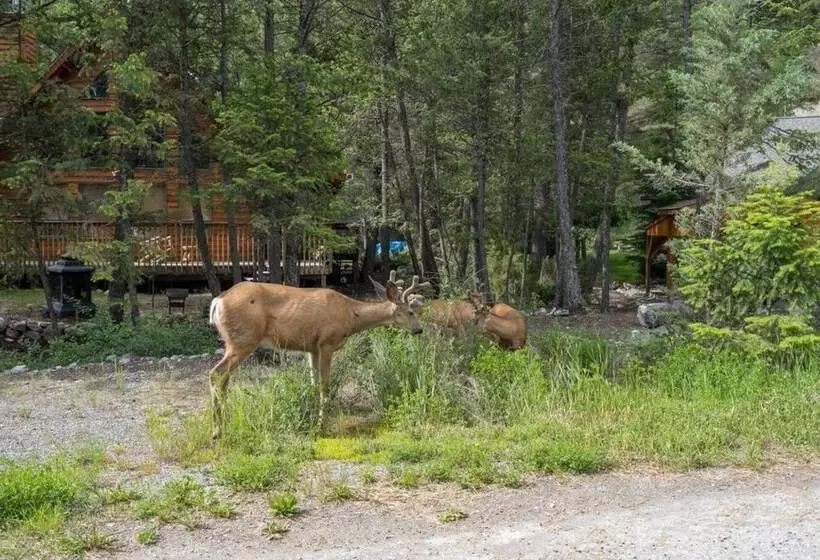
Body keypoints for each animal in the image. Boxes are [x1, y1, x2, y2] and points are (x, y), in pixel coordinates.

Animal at [208, 271, 429, 439]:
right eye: (411, 312)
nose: (419, 330)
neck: (351, 315)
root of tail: (218, 301)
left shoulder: (311, 348)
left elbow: (313, 383)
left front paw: (311, 418)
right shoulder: (326, 343)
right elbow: (325, 385)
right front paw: (322, 425)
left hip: (233, 341)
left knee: (223, 378)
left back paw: (223, 423)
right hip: (244, 339)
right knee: (216, 373)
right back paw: (217, 430)